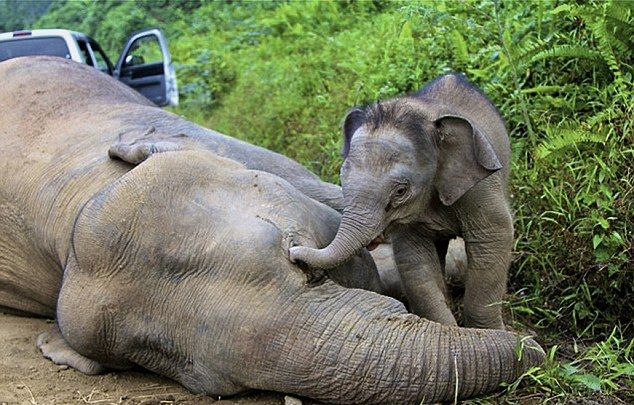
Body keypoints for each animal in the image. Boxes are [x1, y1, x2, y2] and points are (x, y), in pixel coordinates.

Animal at [292, 75, 512, 328]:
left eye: (400, 191)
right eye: (341, 178)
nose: (293, 253)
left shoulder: (480, 186)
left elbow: (493, 237)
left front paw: (490, 332)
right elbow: (414, 260)